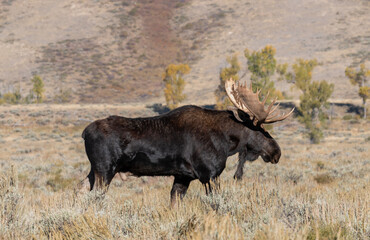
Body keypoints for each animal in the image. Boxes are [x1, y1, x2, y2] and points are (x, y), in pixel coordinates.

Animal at [81, 79, 294, 205]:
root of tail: (84, 133)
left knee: (81, 189)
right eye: (261, 130)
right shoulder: (209, 174)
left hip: (95, 170)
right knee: (94, 197)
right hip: (105, 170)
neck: (226, 143)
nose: (276, 152)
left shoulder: (183, 177)